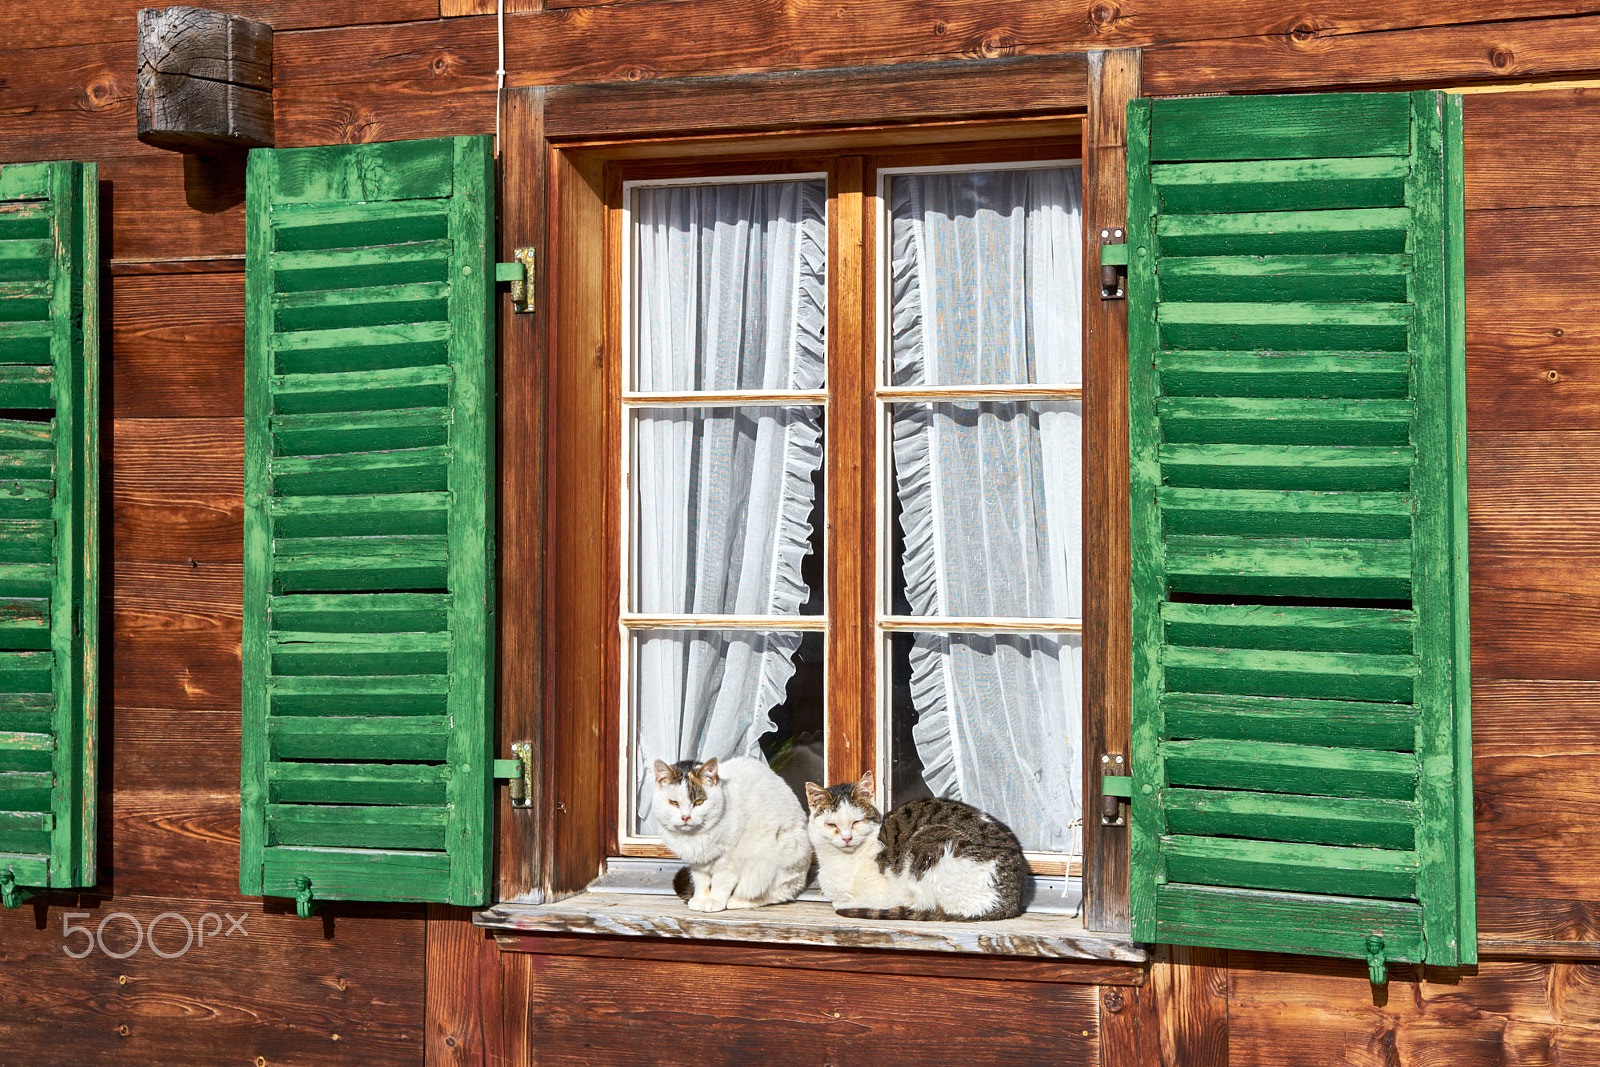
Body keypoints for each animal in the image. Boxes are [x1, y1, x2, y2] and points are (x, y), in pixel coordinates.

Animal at [649, 755, 812, 915]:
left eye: (699, 802)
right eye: (673, 803)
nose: (685, 817)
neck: (693, 837)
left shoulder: (728, 862)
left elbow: (720, 882)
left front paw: (714, 901)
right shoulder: (697, 864)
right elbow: (701, 882)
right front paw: (700, 899)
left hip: (769, 864)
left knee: (774, 895)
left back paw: (737, 901)